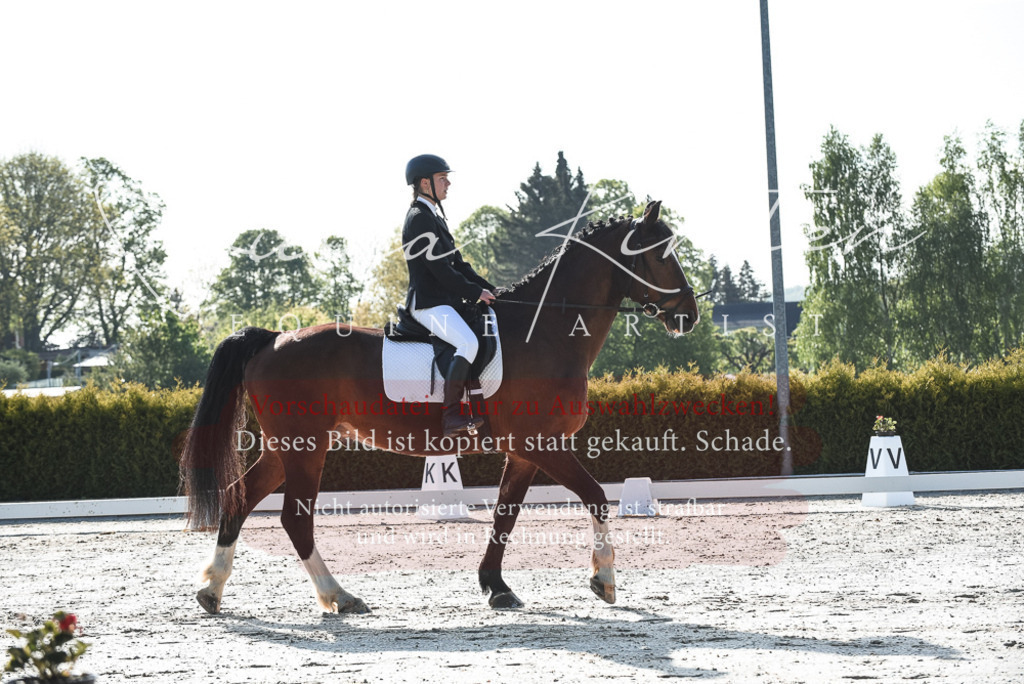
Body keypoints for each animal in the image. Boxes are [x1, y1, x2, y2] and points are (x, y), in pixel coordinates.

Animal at [180, 200, 700, 614]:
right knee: (294, 518)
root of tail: (272, 339)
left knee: (240, 498)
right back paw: (338, 596)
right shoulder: (541, 443)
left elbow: (505, 515)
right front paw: (603, 580)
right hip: (305, 447)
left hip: (284, 447)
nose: (689, 316)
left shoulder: (524, 452)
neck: (546, 333)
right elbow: (594, 495)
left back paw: (212, 590)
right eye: (661, 253)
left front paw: (496, 587)